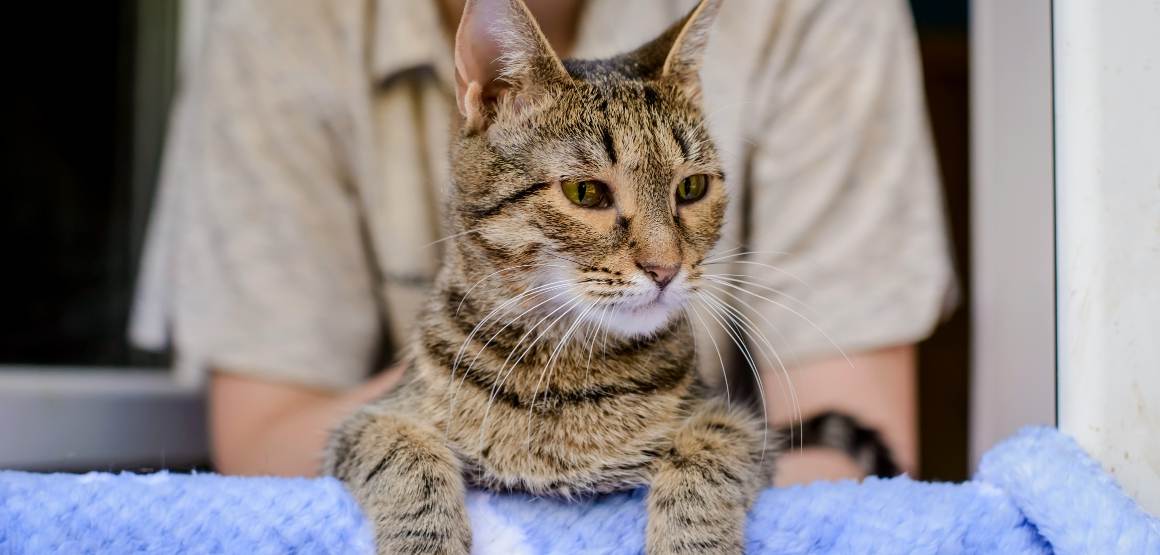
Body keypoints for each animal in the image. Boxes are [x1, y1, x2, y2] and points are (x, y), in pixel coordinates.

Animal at [322, 2, 774, 552]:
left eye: (691, 188)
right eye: (586, 192)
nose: (666, 268)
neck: (564, 365)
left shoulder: (738, 425)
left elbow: (705, 458)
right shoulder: (372, 419)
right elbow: (408, 456)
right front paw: (427, 543)